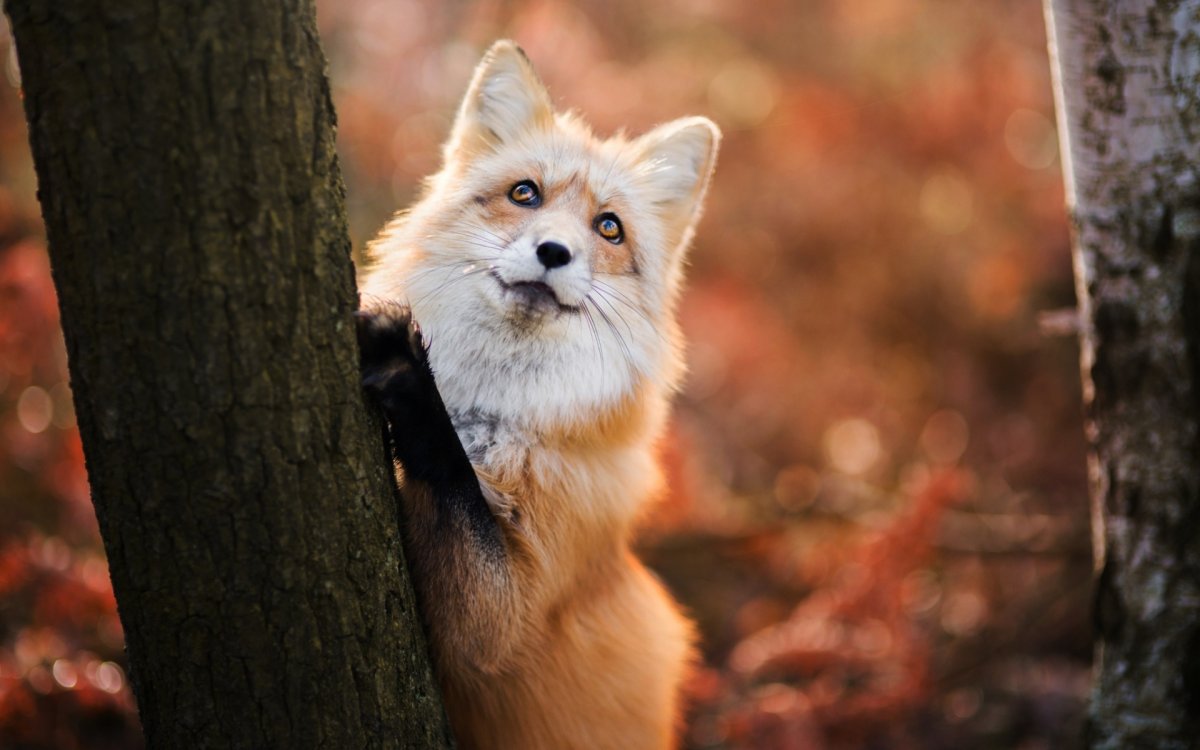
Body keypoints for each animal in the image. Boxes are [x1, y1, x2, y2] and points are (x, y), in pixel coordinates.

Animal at [355, 40, 720, 749]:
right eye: (525, 193)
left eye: (609, 228)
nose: (553, 251)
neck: (491, 418)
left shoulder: (502, 624)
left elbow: (454, 485)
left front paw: (409, 378)